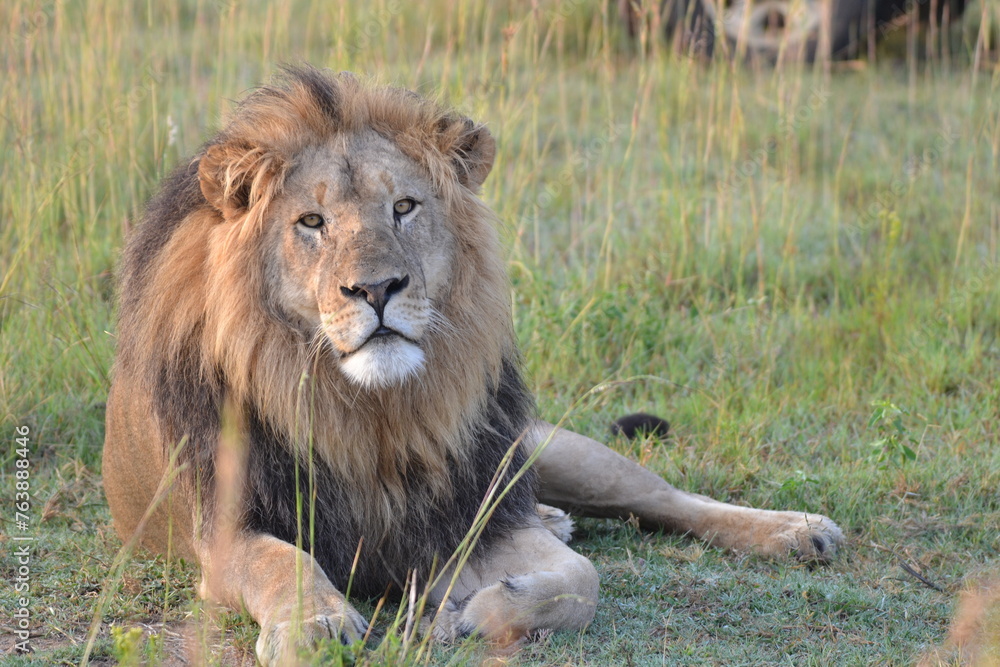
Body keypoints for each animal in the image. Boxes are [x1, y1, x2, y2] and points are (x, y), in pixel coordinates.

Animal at [102, 66, 844, 664]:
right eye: (311, 222)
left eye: (404, 207)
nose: (377, 289)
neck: (370, 414)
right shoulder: (227, 532)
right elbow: (284, 564)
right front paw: (314, 625)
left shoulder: (475, 516)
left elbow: (583, 580)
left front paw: (472, 612)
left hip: (543, 445)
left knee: (663, 498)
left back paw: (799, 531)